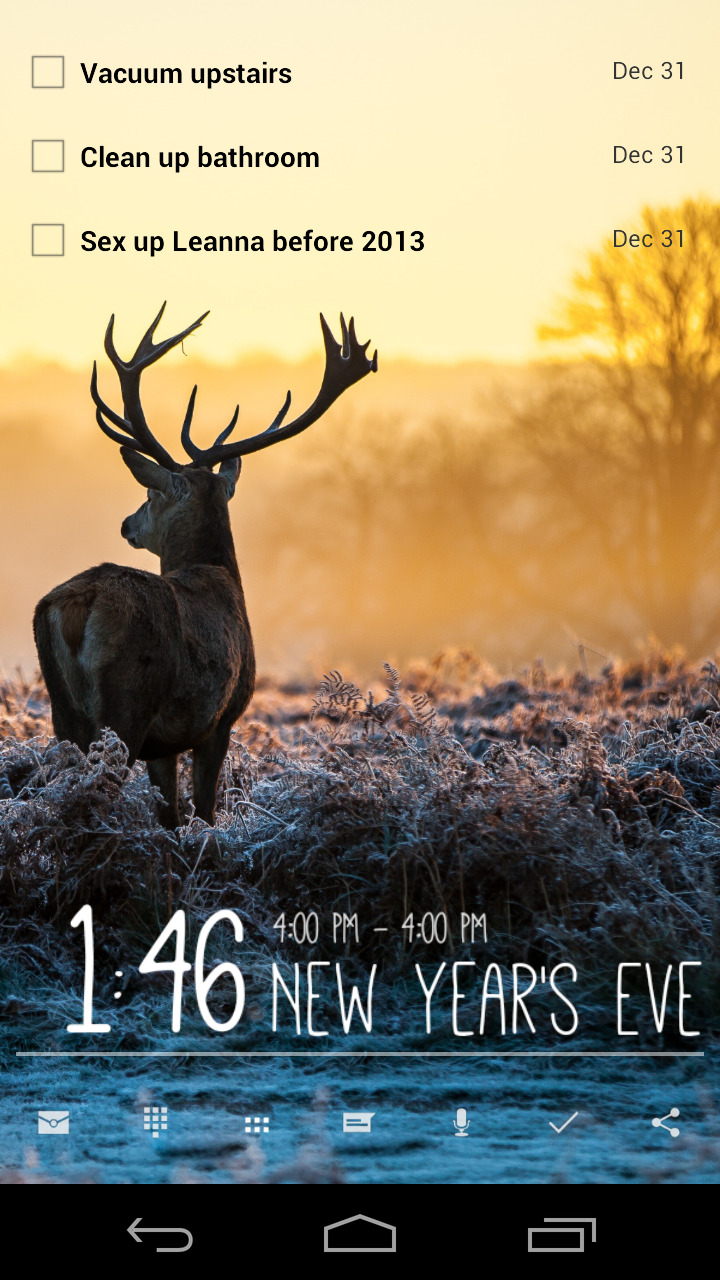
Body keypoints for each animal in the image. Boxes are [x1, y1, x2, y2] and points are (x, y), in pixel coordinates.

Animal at [34, 305, 377, 827]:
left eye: (150, 493)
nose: (127, 524)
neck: (220, 575)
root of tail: (78, 604)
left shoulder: (166, 743)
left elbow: (171, 815)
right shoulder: (220, 718)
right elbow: (204, 812)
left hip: (63, 712)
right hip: (127, 703)